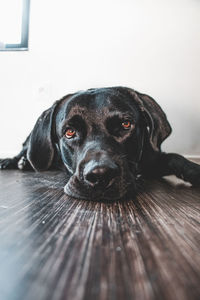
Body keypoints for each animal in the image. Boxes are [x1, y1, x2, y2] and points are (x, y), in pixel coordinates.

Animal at [0, 86, 199, 199]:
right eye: (69, 132)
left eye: (125, 125)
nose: (100, 175)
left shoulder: (152, 158)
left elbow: (175, 158)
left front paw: (194, 170)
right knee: (26, 151)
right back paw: (13, 161)